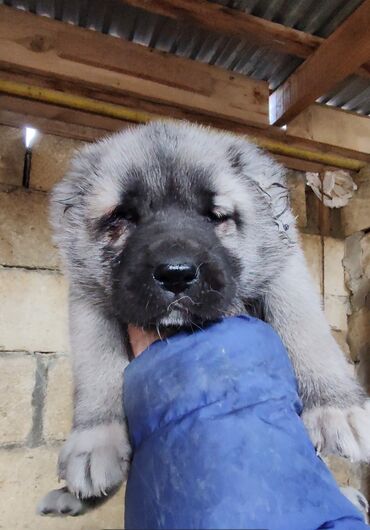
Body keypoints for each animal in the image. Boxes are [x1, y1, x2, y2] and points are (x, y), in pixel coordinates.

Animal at [38, 120, 370, 516]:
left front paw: (336, 406)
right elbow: (97, 366)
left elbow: (305, 327)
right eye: (122, 218)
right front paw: (95, 440)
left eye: (215, 217)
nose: (176, 275)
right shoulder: (89, 298)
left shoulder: (284, 269)